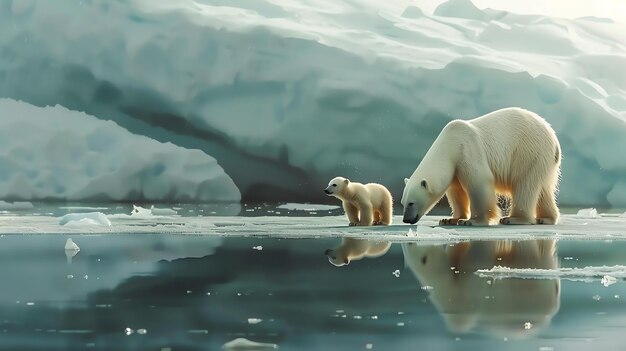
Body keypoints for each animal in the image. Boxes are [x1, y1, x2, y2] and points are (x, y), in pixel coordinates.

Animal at [400, 107, 560, 227]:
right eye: (402, 202)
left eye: (411, 203)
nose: (406, 219)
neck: (451, 143)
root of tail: (554, 139)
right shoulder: (455, 167)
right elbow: (456, 191)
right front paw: (449, 219)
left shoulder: (468, 150)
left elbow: (479, 183)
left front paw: (471, 221)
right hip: (542, 159)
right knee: (543, 189)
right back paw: (546, 218)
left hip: (528, 151)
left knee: (524, 184)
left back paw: (513, 218)